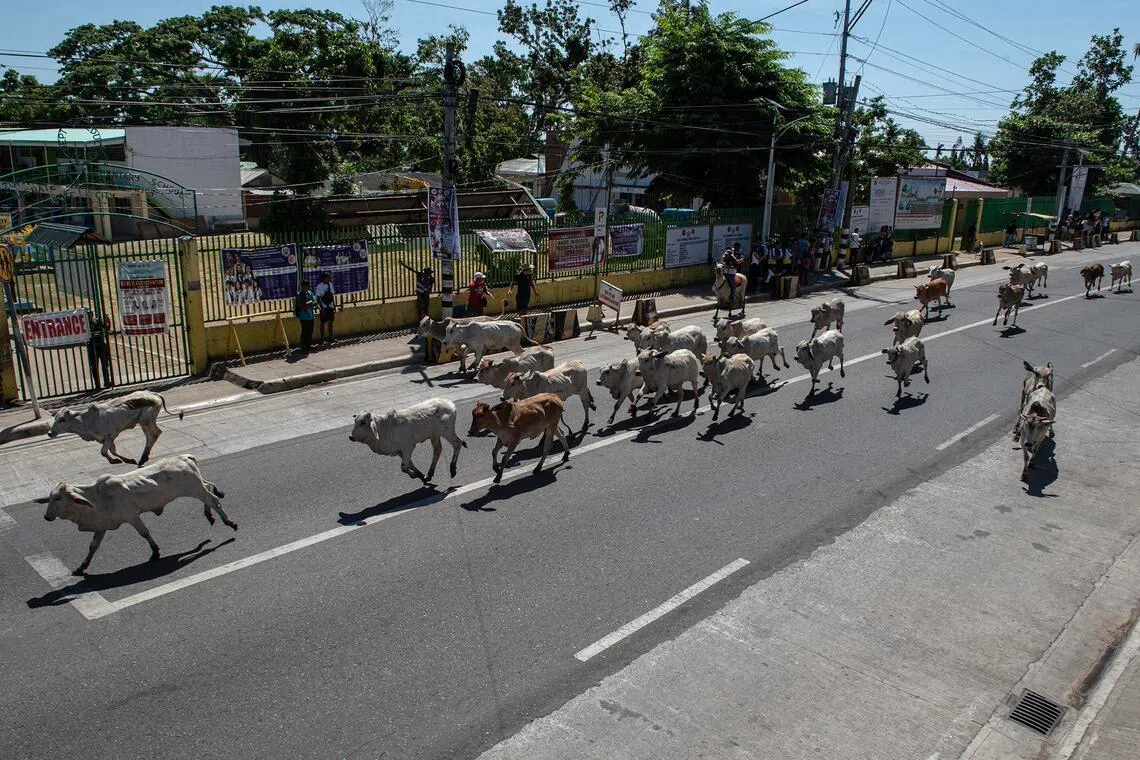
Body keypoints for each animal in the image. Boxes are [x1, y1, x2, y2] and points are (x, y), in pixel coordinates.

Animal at [34, 454, 236, 576]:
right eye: (49, 498)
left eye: (58, 498)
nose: (46, 517)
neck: (96, 498)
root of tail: (184, 457)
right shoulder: (102, 526)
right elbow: (93, 546)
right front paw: (81, 567)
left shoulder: (131, 517)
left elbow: (144, 533)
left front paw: (155, 552)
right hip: (197, 488)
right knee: (210, 492)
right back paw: (210, 516)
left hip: (194, 488)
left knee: (213, 500)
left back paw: (229, 522)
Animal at [48, 391, 184, 467]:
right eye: (55, 418)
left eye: (62, 419)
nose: (50, 433)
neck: (86, 420)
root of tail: (153, 394)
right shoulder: (105, 439)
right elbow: (112, 451)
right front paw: (128, 460)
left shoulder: (111, 435)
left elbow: (104, 452)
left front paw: (115, 461)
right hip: (145, 421)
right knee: (153, 435)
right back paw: (144, 457)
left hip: (145, 420)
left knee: (153, 434)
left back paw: (143, 458)